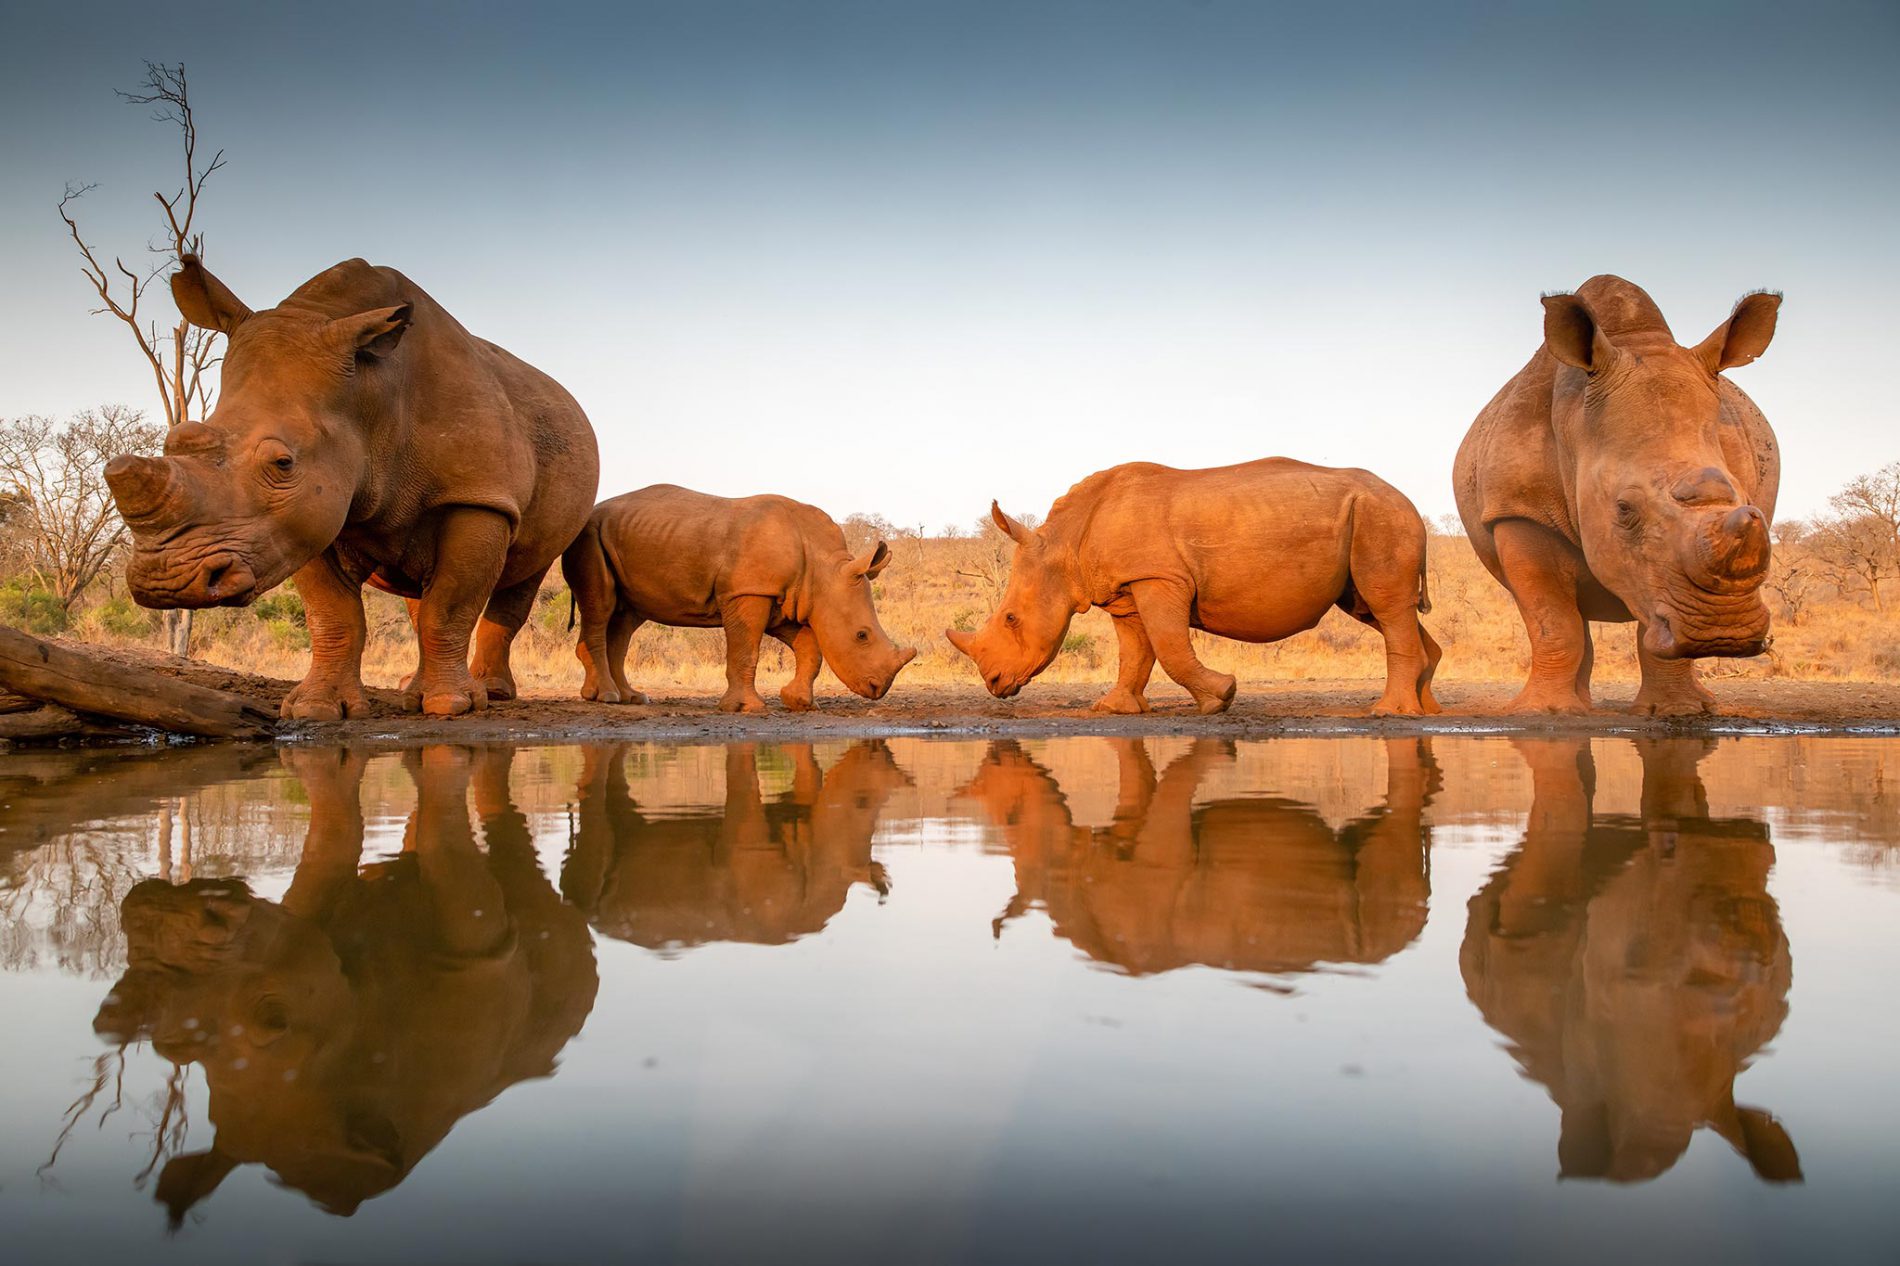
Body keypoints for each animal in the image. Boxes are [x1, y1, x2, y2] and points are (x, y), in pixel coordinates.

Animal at [105, 254, 592, 718]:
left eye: (283, 464)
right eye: (174, 442)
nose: (166, 581)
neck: (369, 397)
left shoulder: (480, 497)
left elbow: (449, 607)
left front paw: (452, 706)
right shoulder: (305, 516)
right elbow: (335, 614)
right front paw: (317, 709)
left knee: (520, 579)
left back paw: (489, 693)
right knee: (418, 591)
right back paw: (411, 691)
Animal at [558, 484, 915, 710]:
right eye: (861, 635)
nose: (878, 690)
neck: (824, 568)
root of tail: (591, 512)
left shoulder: (784, 597)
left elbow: (809, 647)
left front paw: (799, 703)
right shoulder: (749, 591)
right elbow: (747, 649)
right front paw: (747, 708)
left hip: (617, 538)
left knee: (625, 619)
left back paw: (629, 698)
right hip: (588, 536)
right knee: (602, 606)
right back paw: (607, 697)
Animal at [950, 456, 1436, 714]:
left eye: (1011, 618)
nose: (994, 683)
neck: (1064, 544)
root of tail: (1410, 503)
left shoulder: (1159, 577)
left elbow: (1169, 647)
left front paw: (1221, 698)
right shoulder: (1128, 586)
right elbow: (1136, 652)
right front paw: (1113, 708)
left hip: (1381, 517)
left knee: (1386, 606)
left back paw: (1387, 713)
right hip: (1373, 517)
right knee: (1378, 610)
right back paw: (1425, 710)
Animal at [1451, 275, 1778, 710]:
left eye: (1749, 499)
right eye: (1624, 509)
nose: (1724, 629)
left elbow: (1654, 622)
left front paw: (1678, 710)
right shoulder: (1518, 510)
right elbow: (1554, 621)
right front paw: (1550, 712)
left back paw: (1705, 702)